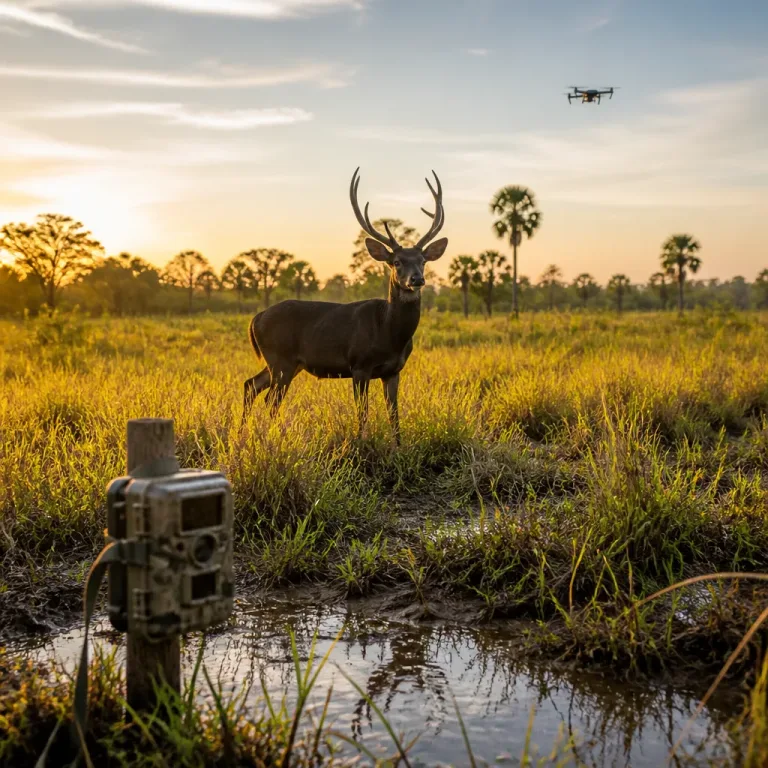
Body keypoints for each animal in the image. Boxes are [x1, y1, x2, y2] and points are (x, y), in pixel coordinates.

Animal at [241, 167, 448, 444]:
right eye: (396, 262)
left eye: (423, 261)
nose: (417, 279)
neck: (389, 332)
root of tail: (256, 319)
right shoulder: (359, 364)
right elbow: (363, 412)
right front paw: (361, 444)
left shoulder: (393, 370)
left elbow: (394, 415)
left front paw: (398, 447)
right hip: (280, 359)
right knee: (270, 400)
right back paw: (267, 438)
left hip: (286, 362)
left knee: (250, 385)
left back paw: (243, 433)